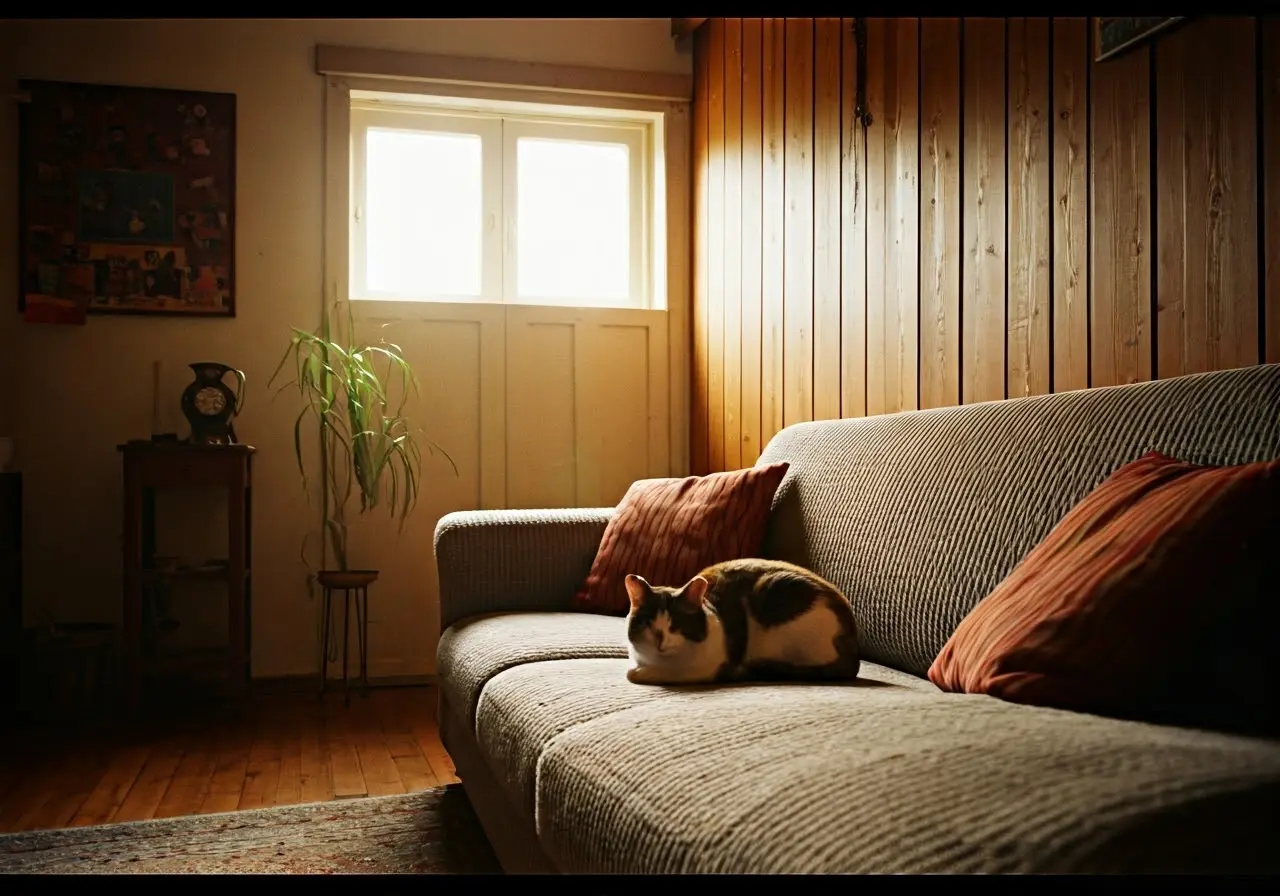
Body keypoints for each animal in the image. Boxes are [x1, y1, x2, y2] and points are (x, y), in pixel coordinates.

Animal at [622, 560, 860, 686]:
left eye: (677, 624)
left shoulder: (711, 668)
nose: (660, 638)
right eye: (648, 622)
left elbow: (634, 674)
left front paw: (642, 673)